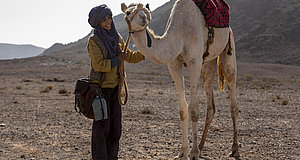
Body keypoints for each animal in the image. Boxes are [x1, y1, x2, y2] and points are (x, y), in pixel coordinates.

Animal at [121, 0, 239, 159]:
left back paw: (234, 148)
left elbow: (194, 110)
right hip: (208, 62)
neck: (180, 34)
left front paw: (193, 153)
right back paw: (201, 145)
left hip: (228, 46)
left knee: (232, 99)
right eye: (128, 12)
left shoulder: (195, 61)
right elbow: (183, 110)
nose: (143, 18)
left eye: (146, 10)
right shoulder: (174, 64)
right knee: (210, 103)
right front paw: (183, 151)